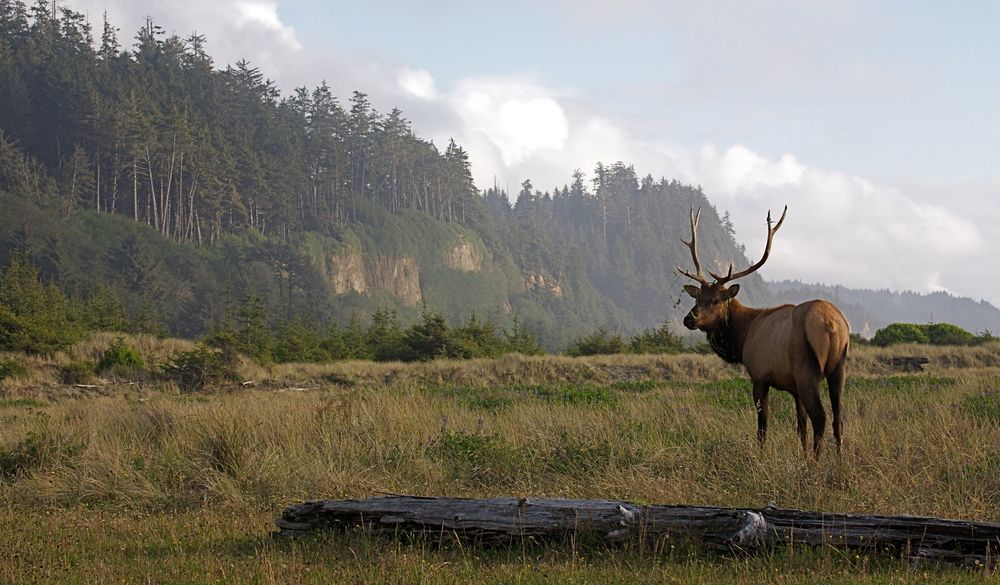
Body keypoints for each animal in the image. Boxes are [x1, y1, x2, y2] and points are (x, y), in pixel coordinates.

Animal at [677, 206, 849, 456]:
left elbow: (763, 424)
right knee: (838, 418)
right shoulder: (793, 387)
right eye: (697, 298)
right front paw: (803, 457)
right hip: (839, 368)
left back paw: (819, 462)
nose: (689, 318)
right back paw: (838, 459)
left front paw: (761, 455)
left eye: (717, 300)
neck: (742, 338)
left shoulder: (759, 376)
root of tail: (832, 325)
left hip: (807, 370)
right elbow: (800, 426)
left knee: (821, 417)